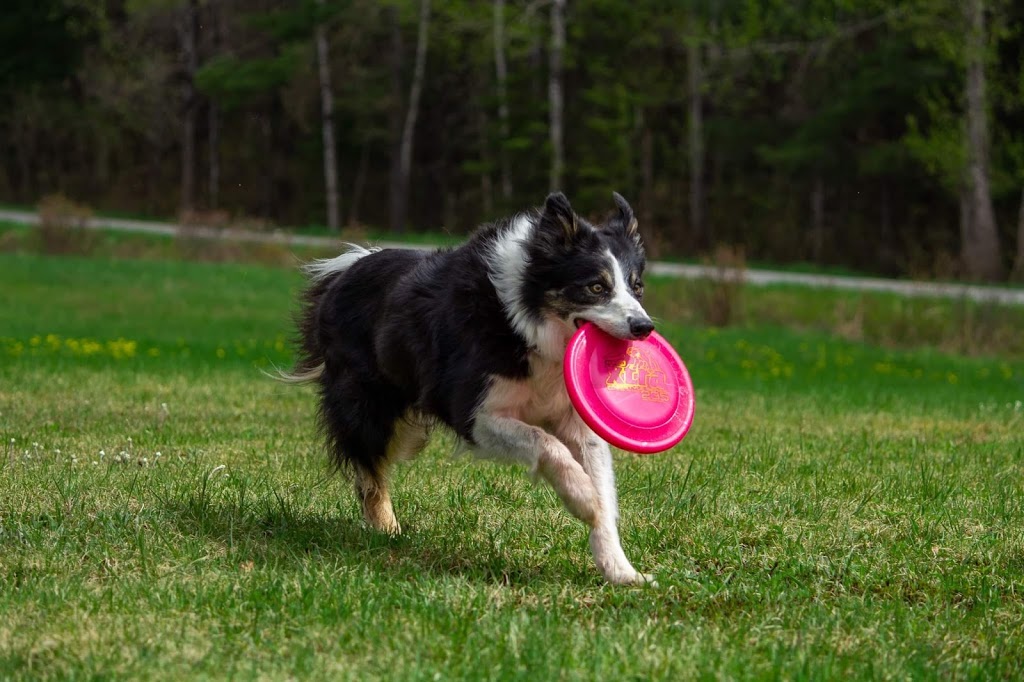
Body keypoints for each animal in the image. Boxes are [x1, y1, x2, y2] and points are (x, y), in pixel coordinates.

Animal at [284, 191, 659, 585]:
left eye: (637, 287)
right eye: (596, 287)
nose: (643, 327)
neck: (528, 325)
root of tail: (346, 268)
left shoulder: (573, 415)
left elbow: (599, 479)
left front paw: (621, 570)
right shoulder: (470, 411)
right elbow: (546, 444)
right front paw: (584, 499)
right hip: (370, 406)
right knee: (369, 469)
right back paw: (386, 530)